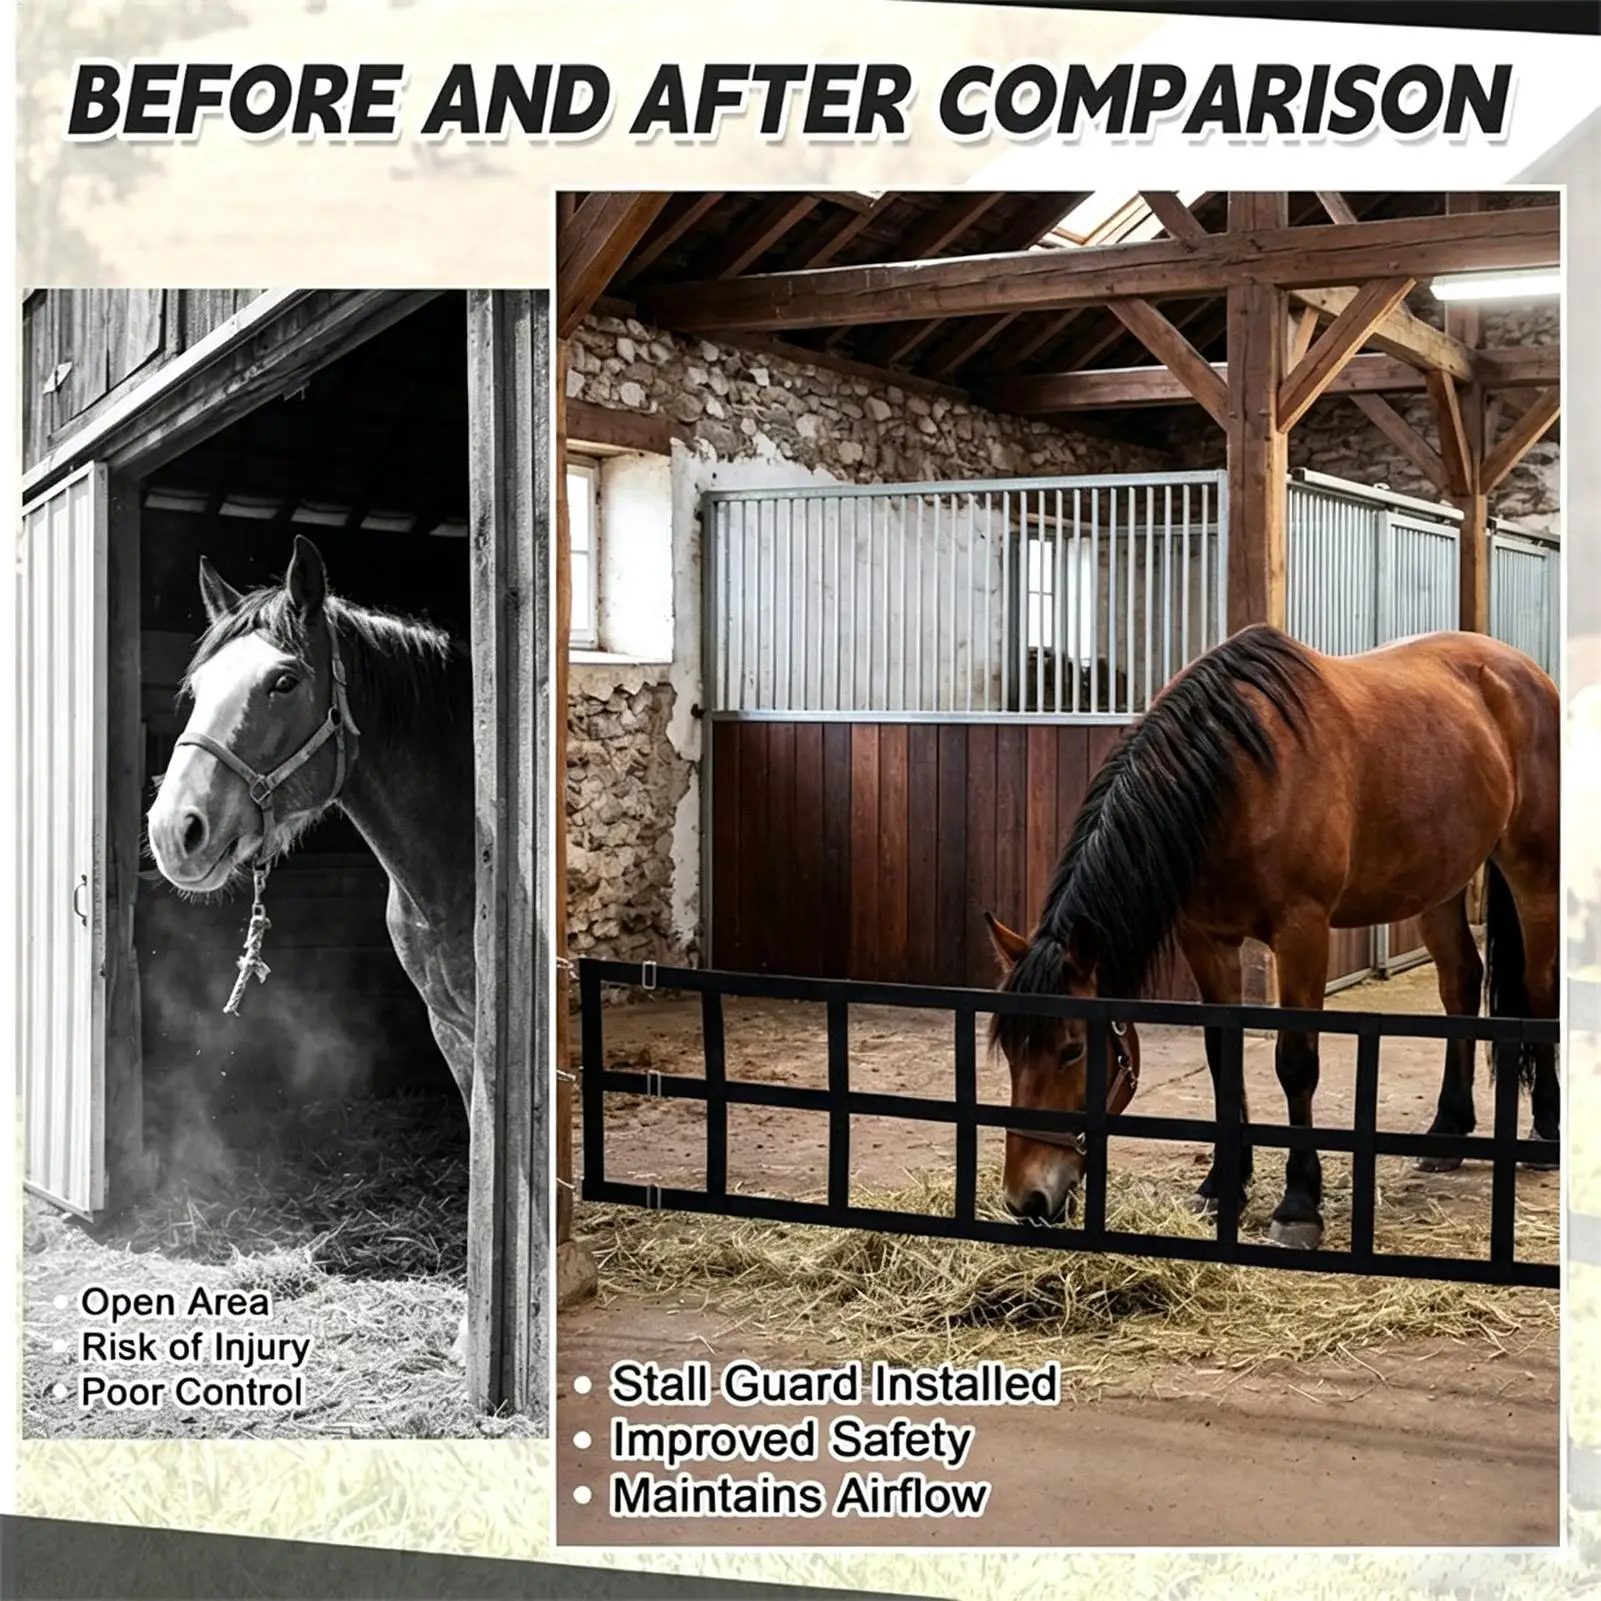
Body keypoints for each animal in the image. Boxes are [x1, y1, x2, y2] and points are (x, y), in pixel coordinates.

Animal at [984, 623, 1560, 1249]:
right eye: (1010, 1050)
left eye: (1072, 1049)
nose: (1027, 1199)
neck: (1238, 776)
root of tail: (1521, 670)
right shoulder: (1206, 939)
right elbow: (1222, 1057)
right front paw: (1222, 1185)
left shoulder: (1301, 931)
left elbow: (1295, 1062)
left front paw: (1299, 1204)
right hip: (1437, 883)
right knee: (1460, 982)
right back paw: (1447, 1130)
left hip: (1532, 870)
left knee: (1539, 986)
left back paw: (1546, 1130)